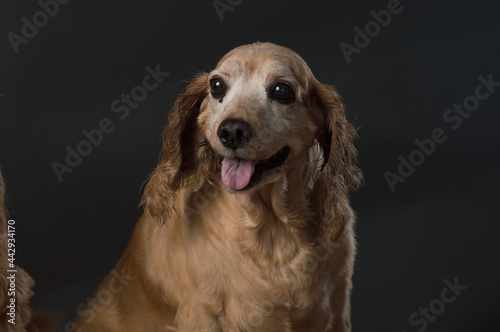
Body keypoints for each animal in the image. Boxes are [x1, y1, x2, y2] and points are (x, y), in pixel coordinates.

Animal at [72, 42, 362, 330]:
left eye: (282, 90)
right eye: (217, 86)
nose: (232, 131)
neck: (273, 228)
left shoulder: (337, 312)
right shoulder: (202, 315)